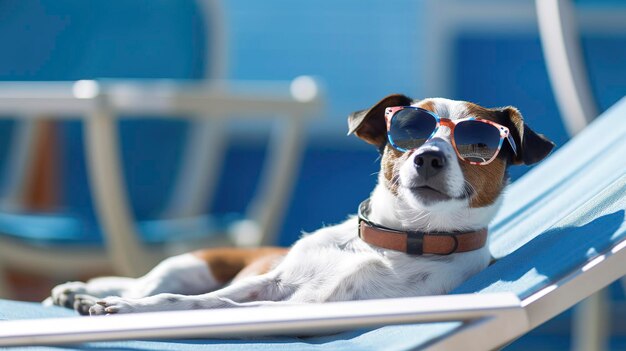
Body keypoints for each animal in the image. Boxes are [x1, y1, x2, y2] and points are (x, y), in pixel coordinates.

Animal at [47, 94, 552, 316]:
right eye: (409, 130)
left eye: (478, 143)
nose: (428, 157)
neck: (392, 240)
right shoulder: (267, 285)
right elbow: (193, 299)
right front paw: (119, 303)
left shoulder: (303, 305)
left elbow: (208, 306)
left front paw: (123, 309)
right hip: (188, 262)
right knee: (147, 282)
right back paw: (83, 290)